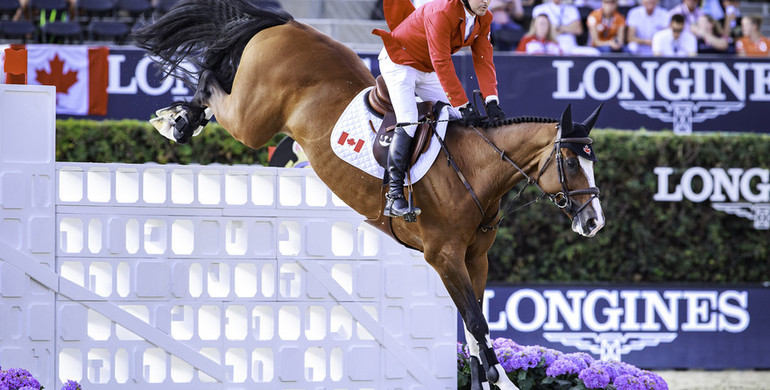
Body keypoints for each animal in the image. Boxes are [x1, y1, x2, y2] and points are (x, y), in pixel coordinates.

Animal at [132, 1, 604, 388]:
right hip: (254, 121)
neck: (475, 168)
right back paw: (175, 121)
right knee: (212, 80)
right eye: (571, 163)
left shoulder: (476, 258)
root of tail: (289, 24)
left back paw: (181, 117)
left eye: (592, 160)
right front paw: (501, 380)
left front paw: (487, 377)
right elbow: (475, 321)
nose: (594, 222)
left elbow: (475, 327)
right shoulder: (445, 256)